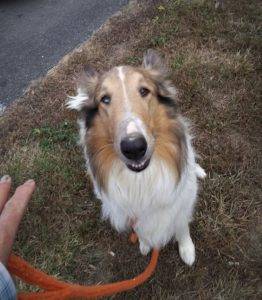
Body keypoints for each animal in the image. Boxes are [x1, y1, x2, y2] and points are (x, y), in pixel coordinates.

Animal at [66, 50, 206, 266]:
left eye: (144, 91)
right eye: (105, 99)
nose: (134, 148)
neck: (141, 178)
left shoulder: (181, 203)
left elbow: (181, 226)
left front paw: (187, 250)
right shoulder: (131, 211)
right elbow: (140, 230)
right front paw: (145, 244)